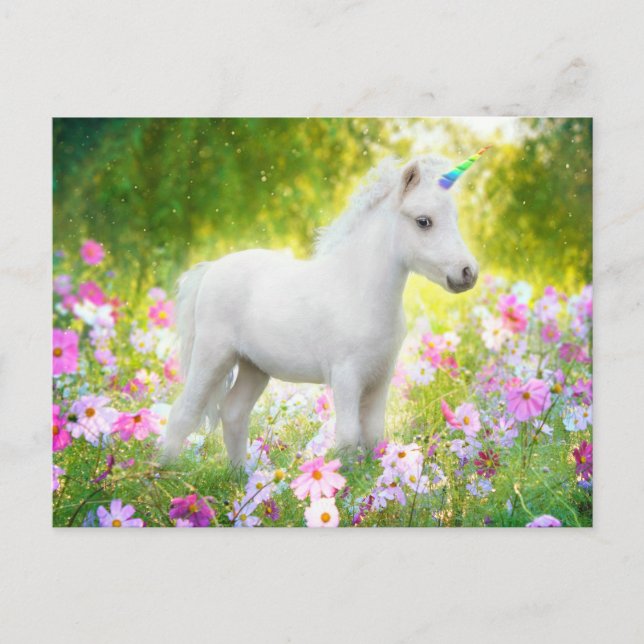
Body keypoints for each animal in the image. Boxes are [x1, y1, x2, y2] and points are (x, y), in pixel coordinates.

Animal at [162, 151, 487, 465]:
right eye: (423, 221)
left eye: (454, 218)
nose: (468, 273)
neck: (359, 292)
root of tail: (210, 269)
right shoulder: (346, 376)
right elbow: (347, 437)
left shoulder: (380, 377)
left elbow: (374, 436)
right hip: (213, 356)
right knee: (183, 414)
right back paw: (165, 472)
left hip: (254, 367)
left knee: (233, 413)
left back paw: (241, 478)